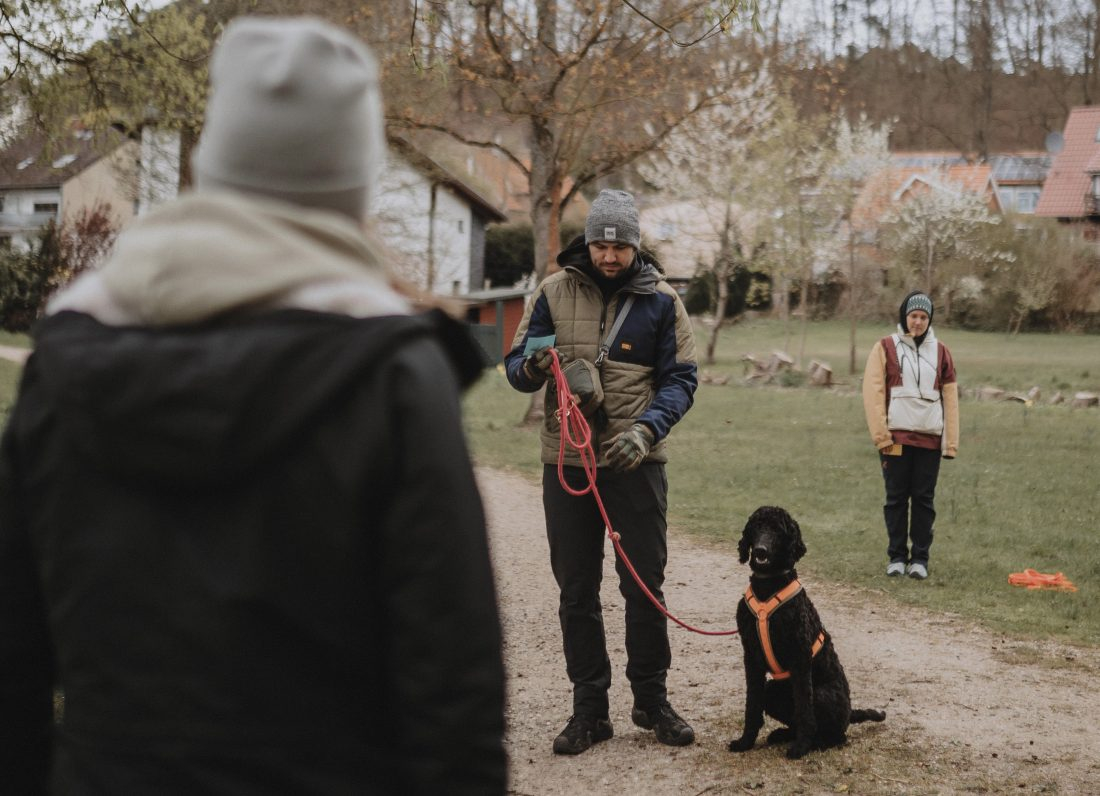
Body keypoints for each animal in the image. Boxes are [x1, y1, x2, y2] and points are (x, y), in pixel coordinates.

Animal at [730, 503, 884, 760]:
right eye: (756, 526)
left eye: (777, 529)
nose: (760, 549)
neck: (768, 587)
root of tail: (850, 712)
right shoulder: (751, 656)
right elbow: (752, 704)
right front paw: (745, 742)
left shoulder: (800, 656)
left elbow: (804, 709)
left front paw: (801, 747)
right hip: (773, 690)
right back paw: (782, 734)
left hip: (822, 695)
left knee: (836, 734)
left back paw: (815, 742)